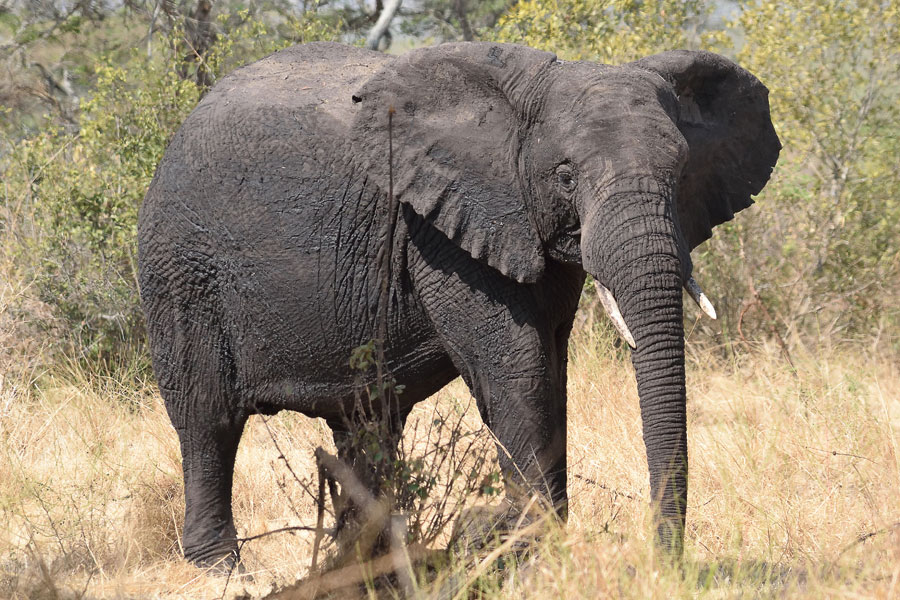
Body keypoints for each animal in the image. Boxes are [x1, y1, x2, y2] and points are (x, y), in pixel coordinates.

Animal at [137, 41, 776, 568]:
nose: (664, 561)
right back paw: (222, 571)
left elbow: (552, 367)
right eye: (566, 176)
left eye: (683, 170)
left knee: (367, 425)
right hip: (181, 269)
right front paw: (531, 557)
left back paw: (359, 564)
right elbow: (520, 370)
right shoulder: (442, 230)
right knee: (207, 419)